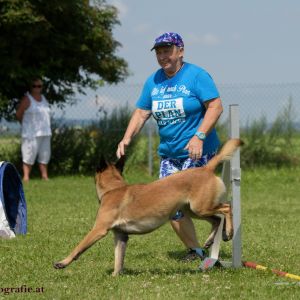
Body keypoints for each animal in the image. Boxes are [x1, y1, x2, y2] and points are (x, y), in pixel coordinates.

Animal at [53, 139, 241, 276]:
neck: (113, 189)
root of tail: (206, 168)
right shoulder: (121, 236)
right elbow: (118, 258)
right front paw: (115, 275)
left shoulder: (98, 229)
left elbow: (79, 247)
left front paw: (62, 262)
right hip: (193, 210)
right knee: (217, 219)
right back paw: (213, 238)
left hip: (200, 207)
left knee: (227, 208)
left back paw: (229, 232)